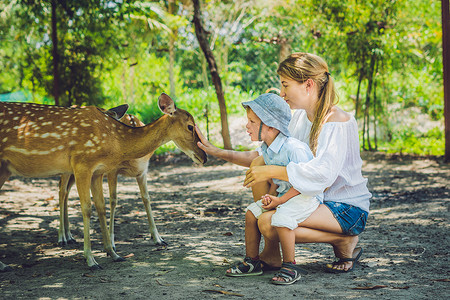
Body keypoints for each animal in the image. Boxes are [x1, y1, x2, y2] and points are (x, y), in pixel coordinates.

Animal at [57, 109, 167, 250]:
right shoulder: (112, 171)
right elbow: (113, 200)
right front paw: (112, 242)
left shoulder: (143, 171)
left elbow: (146, 198)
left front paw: (158, 239)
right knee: (62, 191)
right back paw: (62, 238)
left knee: (67, 191)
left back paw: (69, 235)